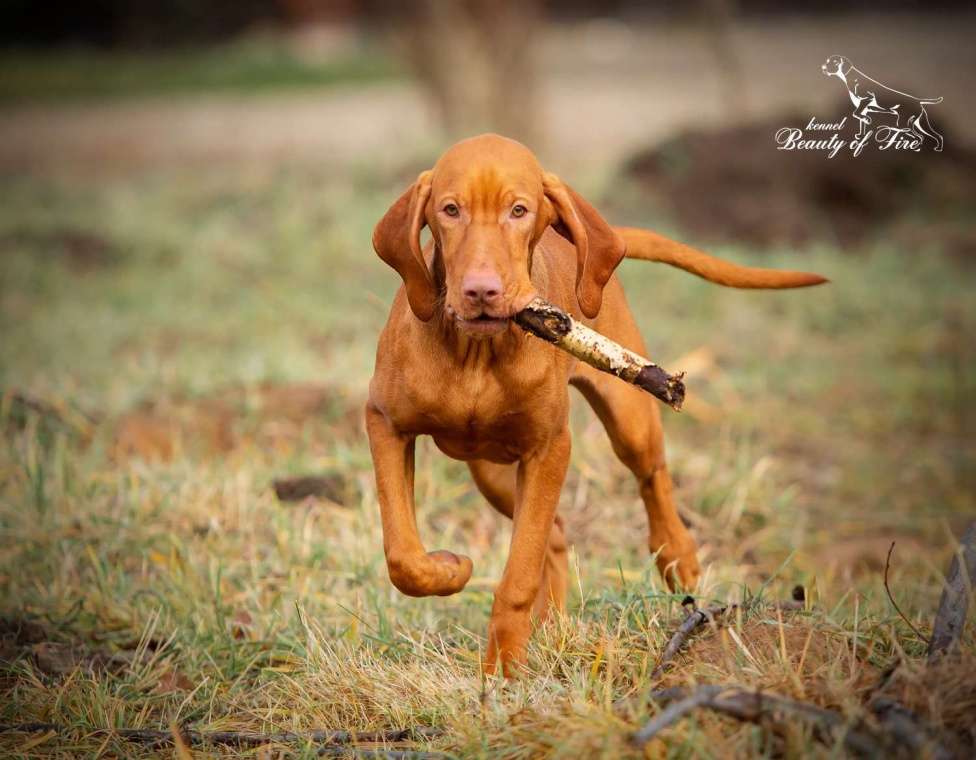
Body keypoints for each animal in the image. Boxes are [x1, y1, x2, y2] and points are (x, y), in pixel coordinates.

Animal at [366, 134, 824, 672]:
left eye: (518, 210)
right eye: (450, 210)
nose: (481, 291)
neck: (476, 354)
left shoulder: (549, 449)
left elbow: (518, 575)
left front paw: (502, 670)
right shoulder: (385, 422)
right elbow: (403, 557)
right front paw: (451, 570)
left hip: (628, 418)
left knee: (650, 476)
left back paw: (678, 558)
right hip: (491, 468)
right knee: (557, 533)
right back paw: (551, 627)